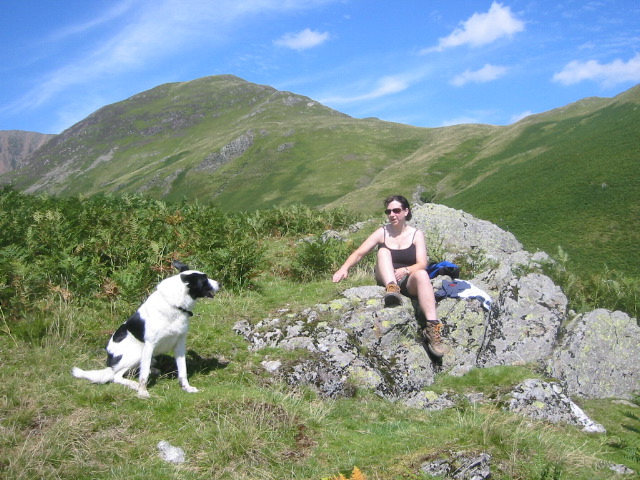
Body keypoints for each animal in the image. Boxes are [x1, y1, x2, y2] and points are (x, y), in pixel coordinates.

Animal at [73, 262, 220, 398]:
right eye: (205, 280)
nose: (220, 283)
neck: (175, 305)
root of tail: (109, 361)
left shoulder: (180, 344)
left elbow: (182, 370)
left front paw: (186, 388)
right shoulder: (149, 345)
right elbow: (143, 376)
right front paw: (142, 391)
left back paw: (152, 371)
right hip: (137, 353)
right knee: (117, 376)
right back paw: (134, 384)